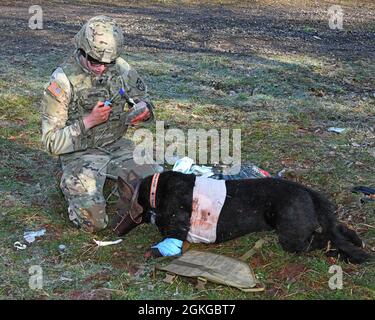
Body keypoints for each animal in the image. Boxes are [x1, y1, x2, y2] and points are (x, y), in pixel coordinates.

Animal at [112, 171, 374, 264]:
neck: (155, 193)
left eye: (120, 208)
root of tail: (306, 190)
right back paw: (355, 243)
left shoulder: (175, 233)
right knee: (338, 229)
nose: (113, 231)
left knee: (322, 240)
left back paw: (343, 254)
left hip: (291, 238)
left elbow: (163, 245)